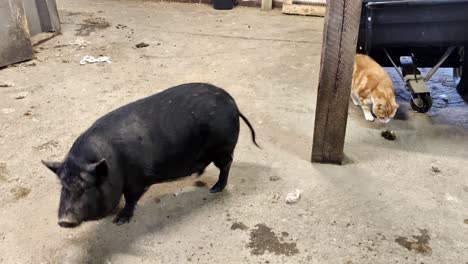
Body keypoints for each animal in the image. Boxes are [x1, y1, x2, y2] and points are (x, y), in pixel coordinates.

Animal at [41, 82, 258, 227]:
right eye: (63, 186)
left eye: (86, 187)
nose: (64, 221)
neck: (113, 165)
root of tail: (232, 103)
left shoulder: (137, 180)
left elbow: (130, 199)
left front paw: (119, 221)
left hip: (224, 146)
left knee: (227, 166)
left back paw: (214, 189)